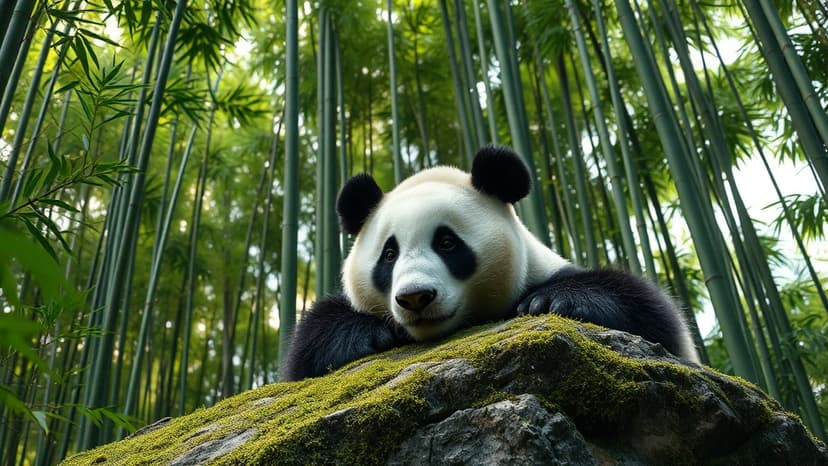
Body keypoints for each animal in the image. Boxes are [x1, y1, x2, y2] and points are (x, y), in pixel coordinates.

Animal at [282, 145, 699, 381]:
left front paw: (552, 301)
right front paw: (365, 335)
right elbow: (308, 344)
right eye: (389, 254)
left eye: (447, 242)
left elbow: (655, 314)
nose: (415, 297)